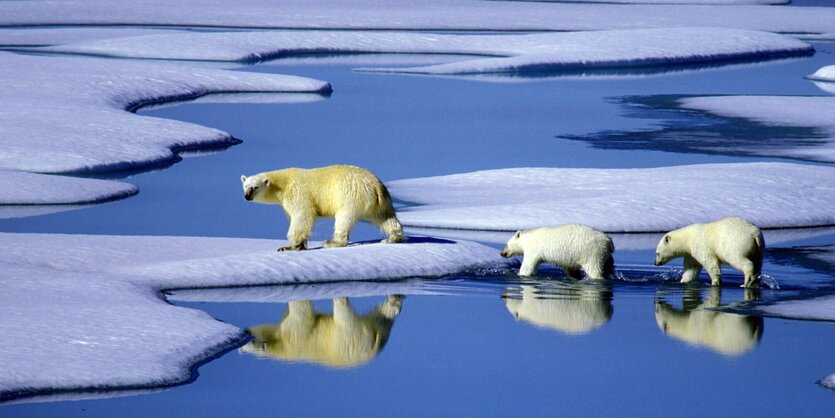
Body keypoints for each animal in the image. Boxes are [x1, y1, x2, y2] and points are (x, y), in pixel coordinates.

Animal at [240, 166, 406, 251]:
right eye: (245, 186)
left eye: (255, 187)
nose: (247, 196)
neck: (282, 184)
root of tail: (375, 185)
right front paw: (299, 245)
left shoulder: (296, 193)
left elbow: (302, 215)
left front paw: (289, 246)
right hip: (381, 201)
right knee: (384, 217)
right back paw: (392, 238)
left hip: (350, 195)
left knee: (343, 218)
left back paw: (332, 242)